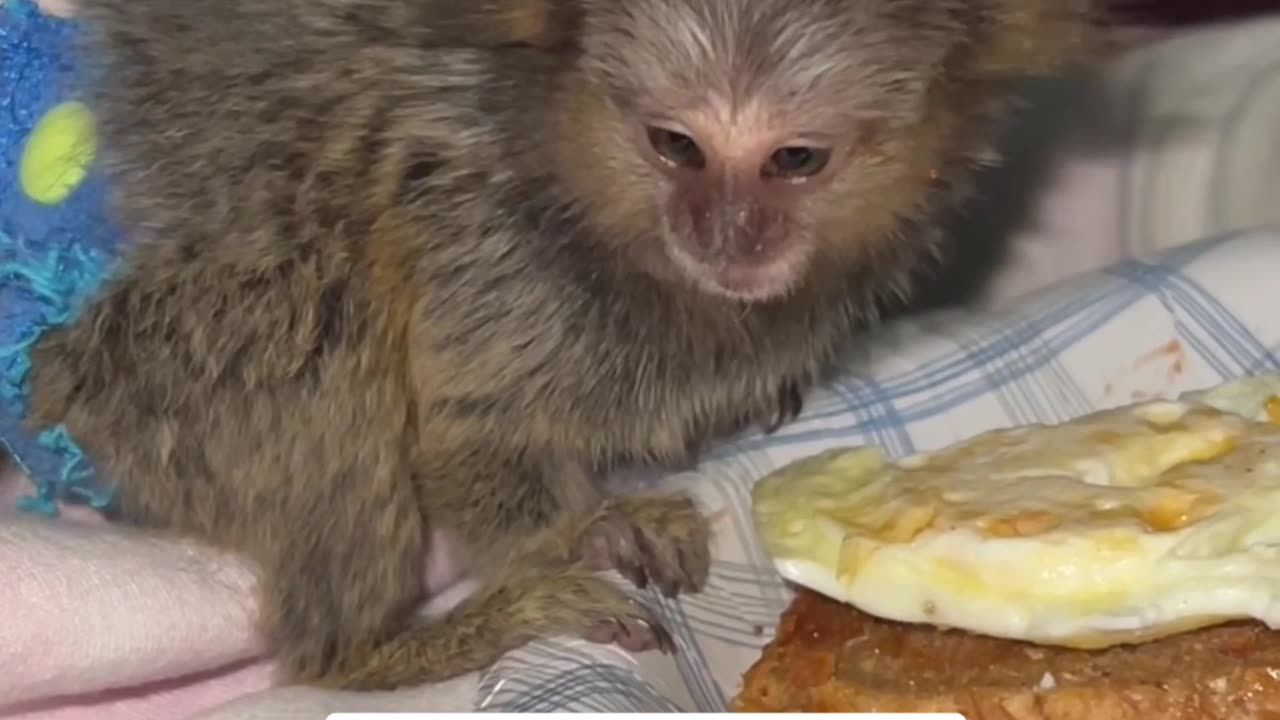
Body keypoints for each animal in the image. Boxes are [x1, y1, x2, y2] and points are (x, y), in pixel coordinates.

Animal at [24, 0, 1090, 686]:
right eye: (676, 145)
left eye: (796, 159)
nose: (726, 235)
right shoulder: (484, 233)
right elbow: (468, 438)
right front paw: (591, 532)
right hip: (134, 372)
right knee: (323, 305)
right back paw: (384, 648)